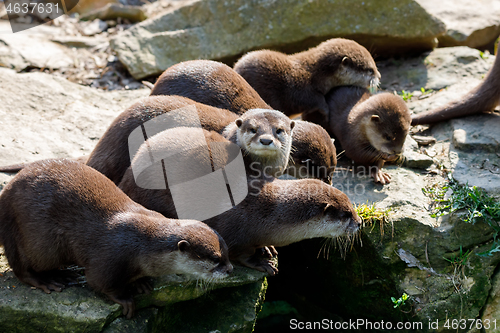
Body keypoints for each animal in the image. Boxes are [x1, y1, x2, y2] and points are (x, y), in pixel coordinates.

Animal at [0, 160, 230, 318]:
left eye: (227, 254)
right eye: (215, 258)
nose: (230, 270)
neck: (144, 247)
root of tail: (5, 197)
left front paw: (140, 282)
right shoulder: (111, 257)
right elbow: (98, 282)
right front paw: (125, 299)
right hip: (35, 238)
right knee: (22, 268)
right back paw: (48, 279)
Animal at [119, 126, 362, 274]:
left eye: (352, 206)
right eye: (346, 214)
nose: (360, 223)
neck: (268, 213)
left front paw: (267, 248)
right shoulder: (234, 231)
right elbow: (239, 254)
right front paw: (262, 262)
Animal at [233, 37, 378, 117]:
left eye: (374, 66)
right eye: (370, 70)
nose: (379, 76)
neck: (316, 74)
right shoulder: (300, 88)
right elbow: (314, 100)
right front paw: (325, 111)